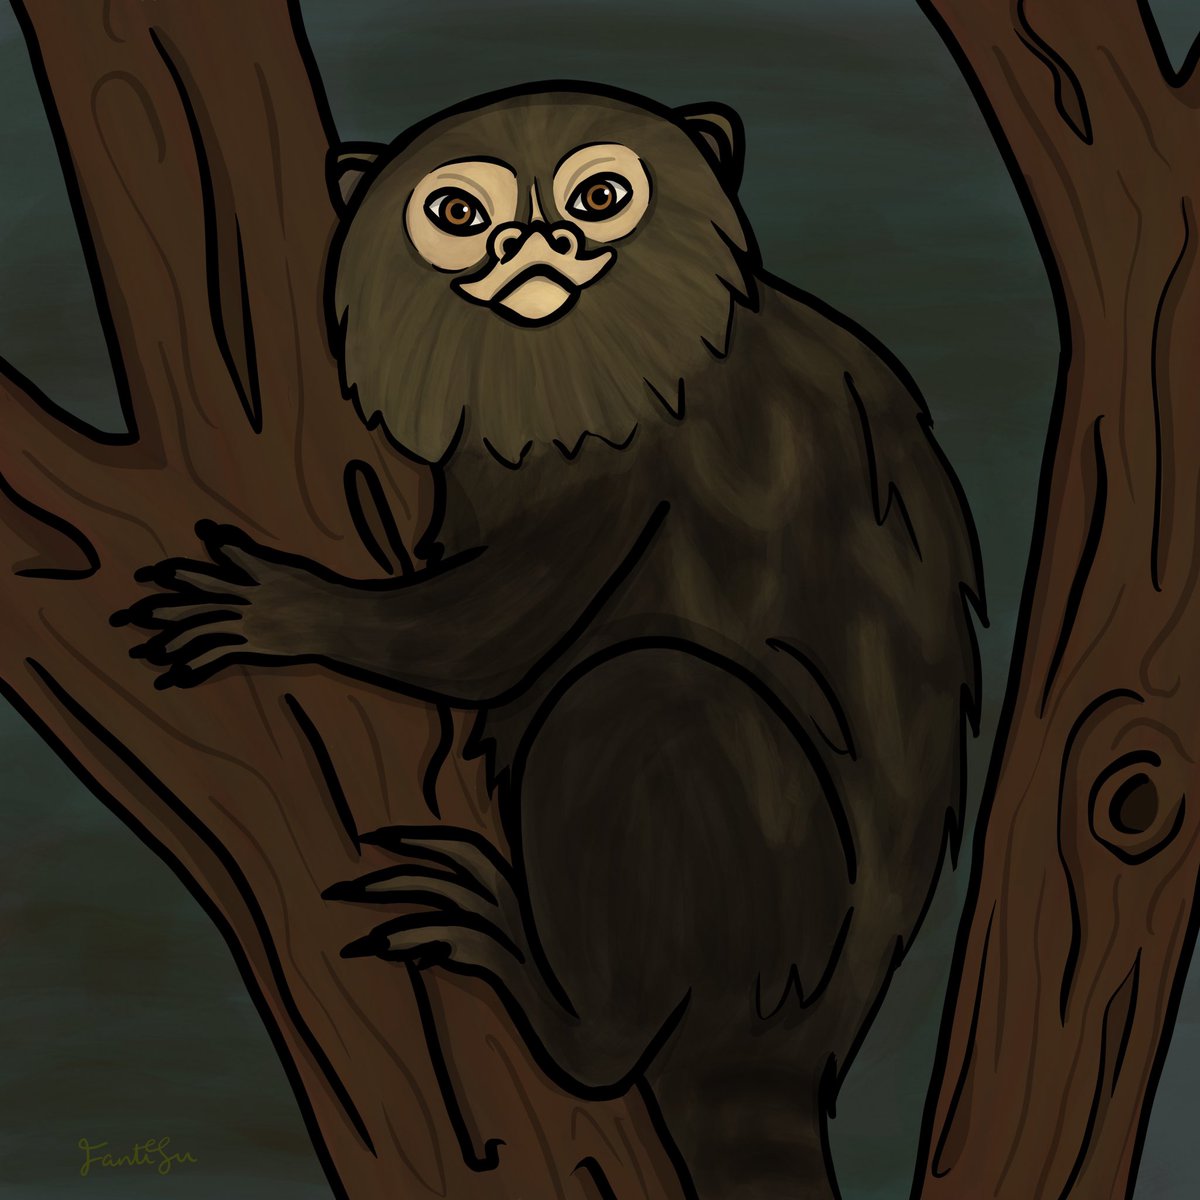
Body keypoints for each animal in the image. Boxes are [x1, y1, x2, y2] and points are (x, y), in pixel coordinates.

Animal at [114, 83, 983, 1200]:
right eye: (458, 212)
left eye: (600, 195)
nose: (536, 238)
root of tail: (796, 1057)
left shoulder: (627, 450)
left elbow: (485, 640)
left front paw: (284, 610)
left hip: (771, 915)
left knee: (647, 695)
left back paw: (569, 1014)